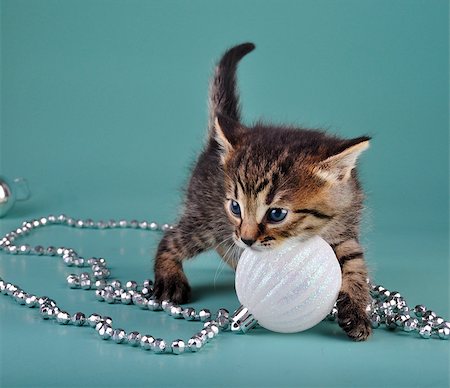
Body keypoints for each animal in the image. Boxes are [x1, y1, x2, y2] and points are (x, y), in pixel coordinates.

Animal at [155, 41, 372, 340]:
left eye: (276, 214)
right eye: (235, 207)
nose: (247, 240)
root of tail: (213, 145)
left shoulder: (345, 229)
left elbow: (354, 265)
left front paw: (356, 311)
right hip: (206, 221)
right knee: (172, 239)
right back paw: (170, 277)